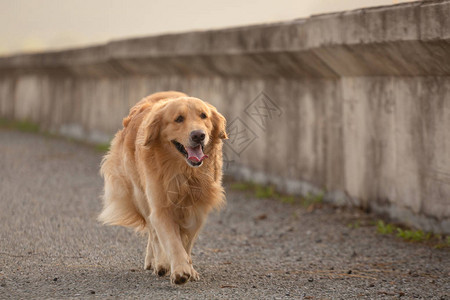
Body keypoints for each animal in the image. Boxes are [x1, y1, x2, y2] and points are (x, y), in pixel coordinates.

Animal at [100, 91, 230, 284]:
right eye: (179, 119)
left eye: (203, 116)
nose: (199, 135)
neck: (184, 173)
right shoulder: (160, 207)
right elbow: (171, 240)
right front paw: (180, 269)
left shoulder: (198, 210)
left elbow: (186, 241)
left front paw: (189, 267)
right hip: (141, 195)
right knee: (153, 233)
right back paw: (158, 263)